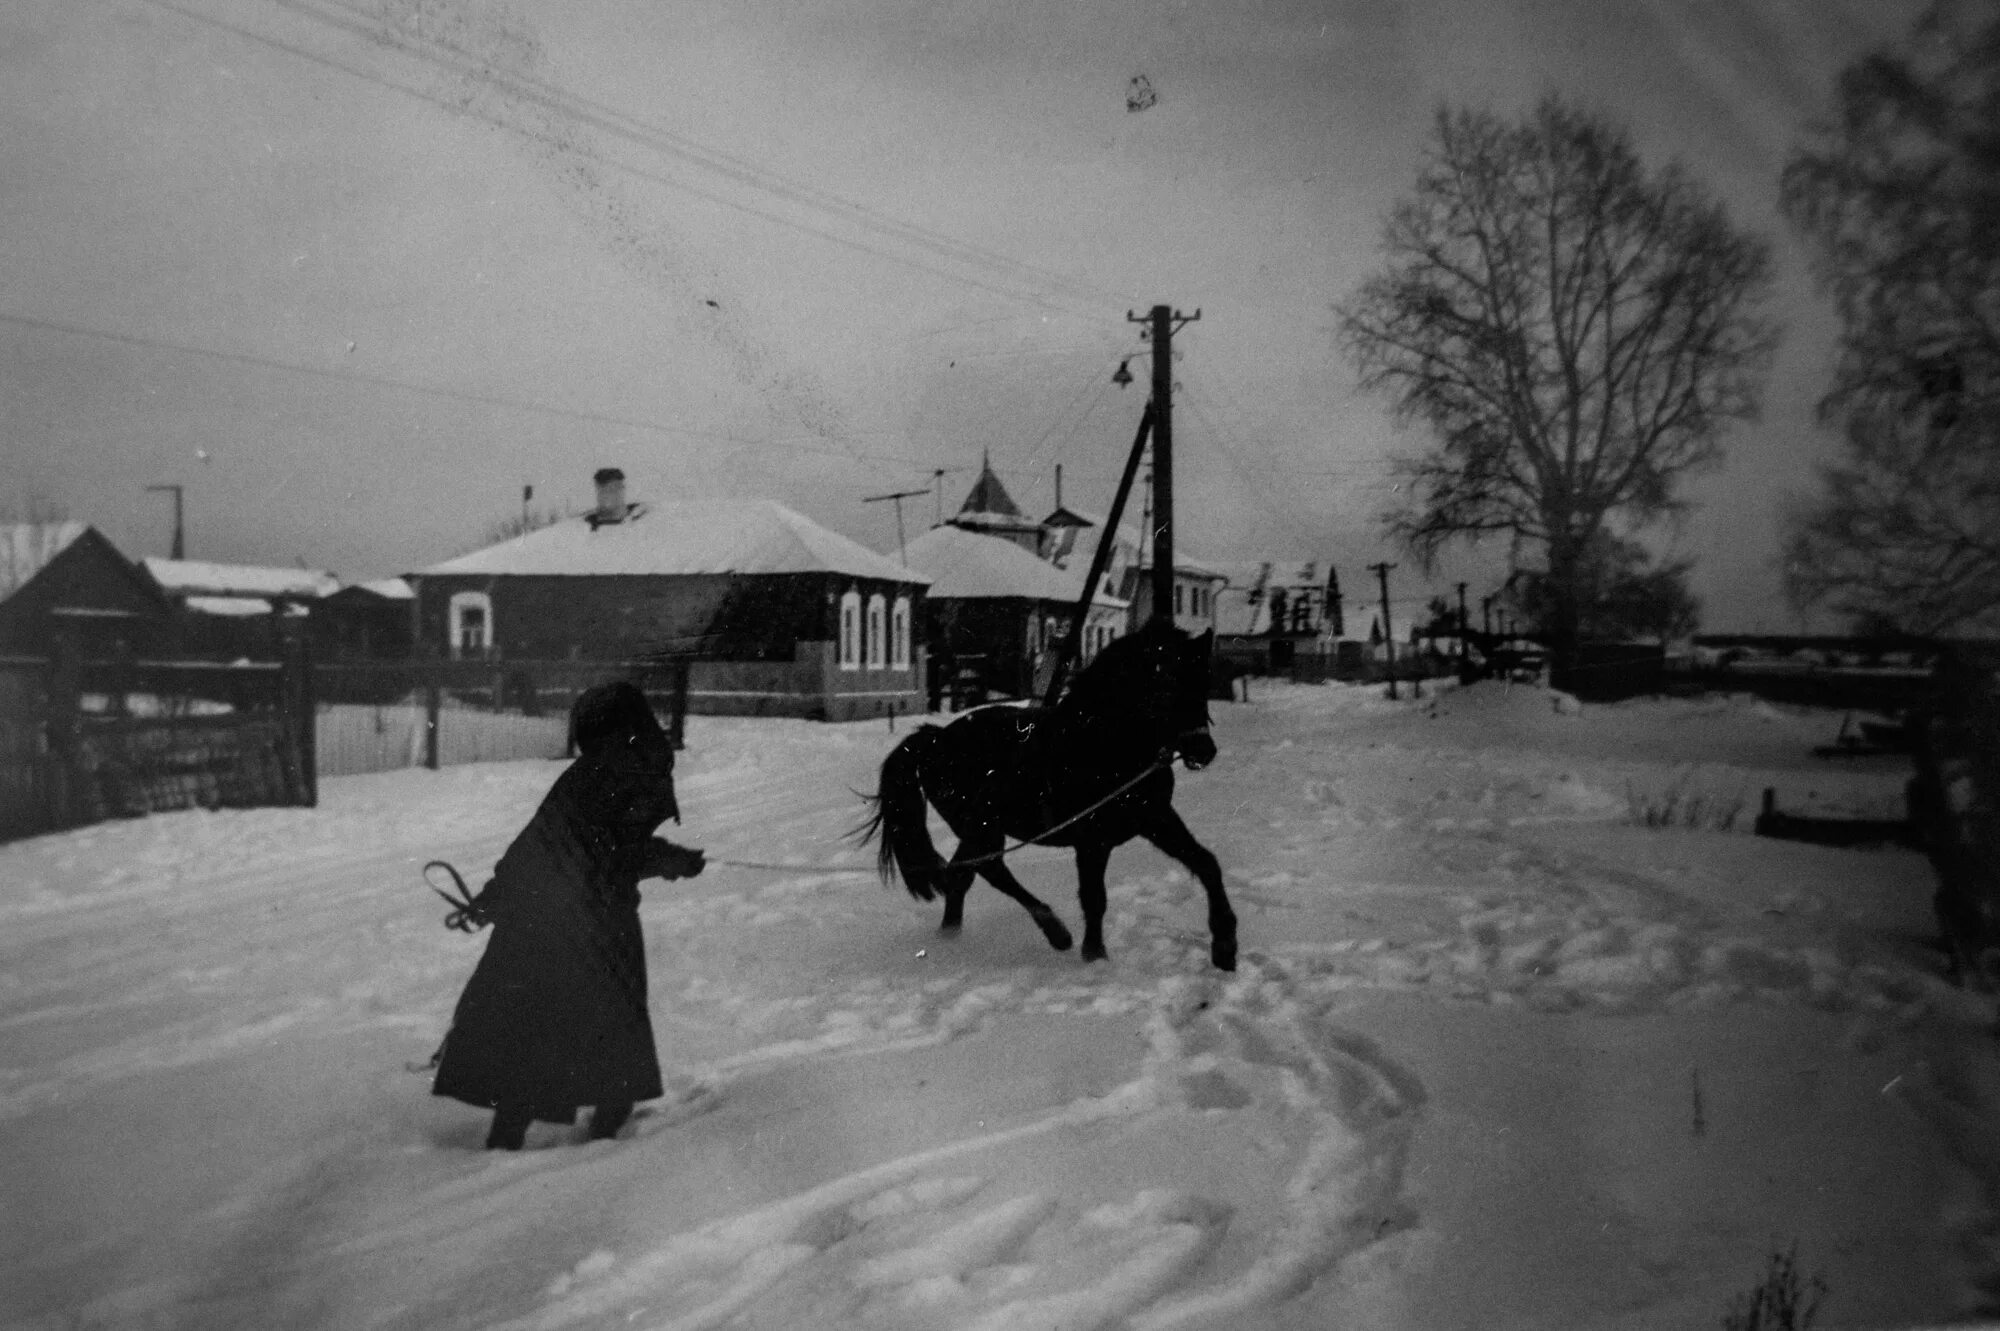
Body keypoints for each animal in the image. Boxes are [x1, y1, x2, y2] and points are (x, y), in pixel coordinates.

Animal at [856, 615, 1232, 971]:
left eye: (1203, 683)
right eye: (1166, 687)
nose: (1203, 750)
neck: (1103, 744)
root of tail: (935, 738)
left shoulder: (1156, 819)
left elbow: (1207, 863)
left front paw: (1225, 947)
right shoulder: (1091, 840)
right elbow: (1094, 897)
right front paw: (1094, 955)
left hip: (979, 830)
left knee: (964, 873)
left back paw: (952, 935)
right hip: (981, 827)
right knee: (989, 870)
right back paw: (1055, 932)